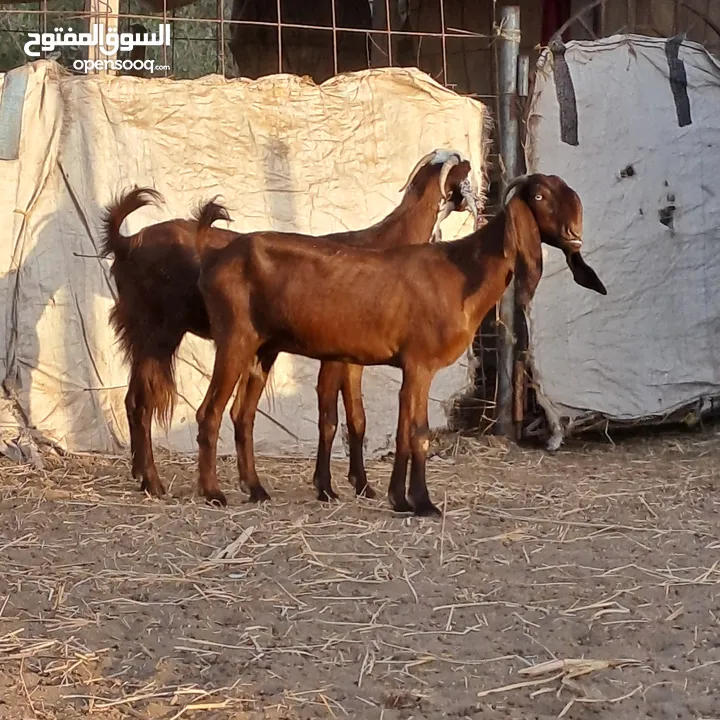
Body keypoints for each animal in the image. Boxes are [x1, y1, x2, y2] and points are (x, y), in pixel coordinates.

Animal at [101, 150, 480, 504]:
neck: (385, 241)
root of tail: (126, 242)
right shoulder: (335, 356)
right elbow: (329, 418)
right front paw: (326, 487)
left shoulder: (354, 359)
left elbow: (357, 419)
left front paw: (362, 485)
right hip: (161, 331)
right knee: (152, 403)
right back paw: (164, 483)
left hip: (149, 336)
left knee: (136, 400)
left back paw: (148, 478)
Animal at [193, 172, 608, 516]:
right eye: (539, 196)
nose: (574, 234)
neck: (462, 273)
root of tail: (213, 257)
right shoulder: (420, 363)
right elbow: (418, 433)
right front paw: (421, 502)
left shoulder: (412, 367)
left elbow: (405, 431)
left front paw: (400, 498)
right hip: (235, 338)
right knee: (209, 412)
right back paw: (213, 493)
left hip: (263, 348)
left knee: (242, 415)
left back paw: (256, 489)